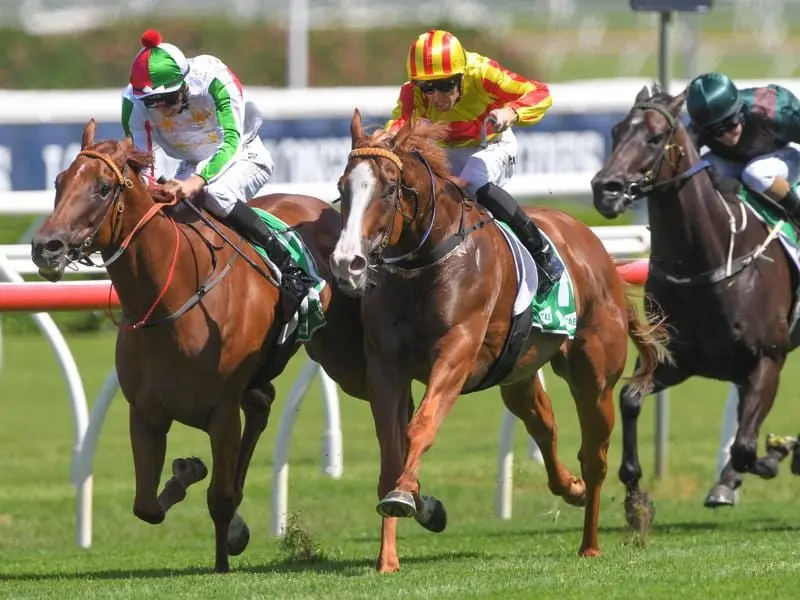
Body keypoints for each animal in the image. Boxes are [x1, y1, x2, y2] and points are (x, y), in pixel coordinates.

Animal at [29, 119, 368, 576]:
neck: (172, 298)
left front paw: (223, 555)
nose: (46, 247)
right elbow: (146, 506)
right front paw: (186, 474)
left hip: (344, 355)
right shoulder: (145, 412)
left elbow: (218, 499)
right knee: (262, 403)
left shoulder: (222, 411)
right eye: (59, 181)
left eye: (102, 187)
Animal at [328, 110, 672, 576]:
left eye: (389, 188)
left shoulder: (456, 352)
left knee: (595, 457)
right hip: (518, 373)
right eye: (343, 186)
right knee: (545, 425)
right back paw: (572, 487)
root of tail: (599, 252)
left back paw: (590, 542)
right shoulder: (386, 366)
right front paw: (391, 552)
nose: (347, 263)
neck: (428, 262)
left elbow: (422, 426)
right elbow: (392, 448)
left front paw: (404, 498)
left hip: (595, 378)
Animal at [592, 84, 796, 524]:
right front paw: (635, 494)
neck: (708, 261)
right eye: (616, 131)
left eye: (654, 137)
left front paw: (779, 453)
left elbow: (746, 447)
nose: (606, 189)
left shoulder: (769, 358)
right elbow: (629, 399)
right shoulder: (675, 361)